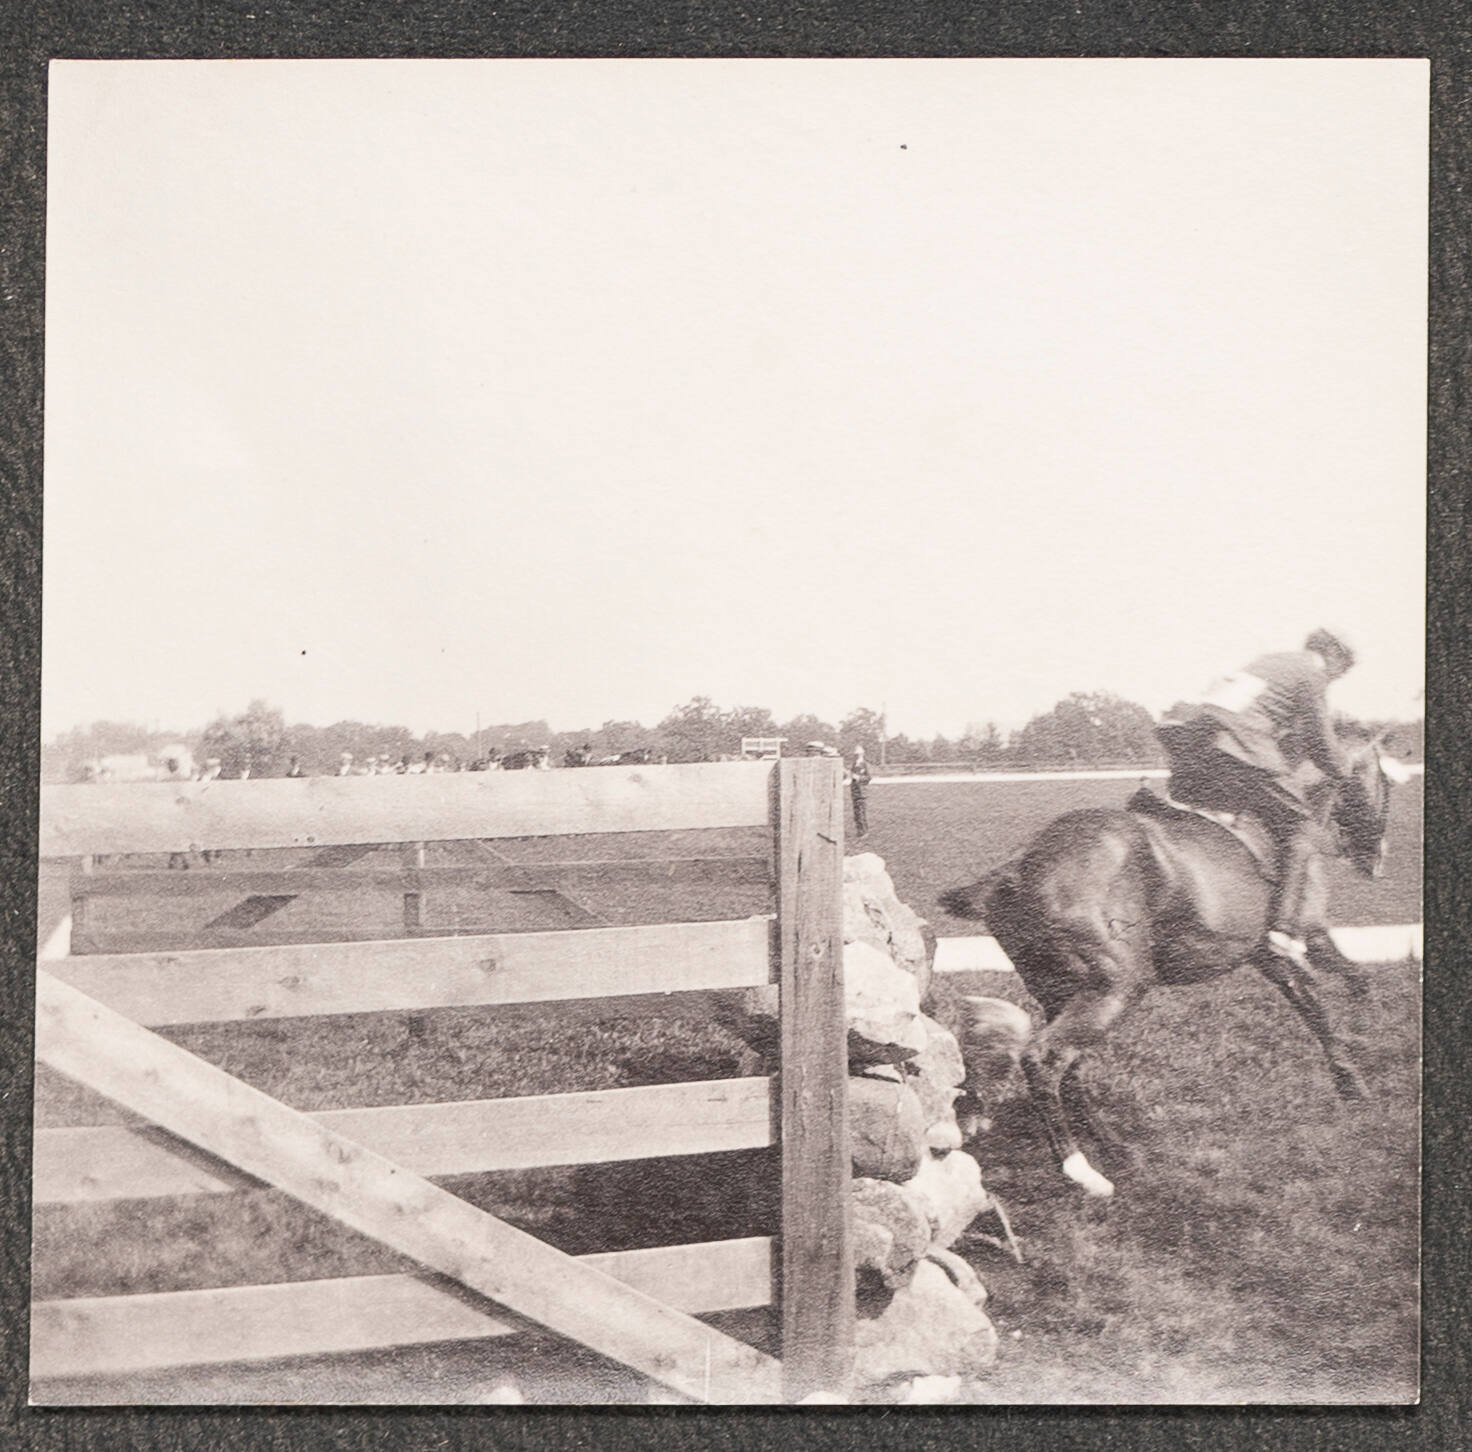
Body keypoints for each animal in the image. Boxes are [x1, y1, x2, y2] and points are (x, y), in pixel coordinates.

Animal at [942, 742, 1401, 1195]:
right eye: (1385, 783)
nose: (1376, 859)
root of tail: (1015, 870)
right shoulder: (1300, 939)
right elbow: (1331, 997)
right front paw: (1359, 1068)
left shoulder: (1271, 955)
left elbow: (1330, 994)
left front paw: (1360, 1059)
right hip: (1118, 988)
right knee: (1044, 1061)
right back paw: (1080, 1169)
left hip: (1062, 994)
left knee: (1070, 1071)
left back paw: (1118, 1150)